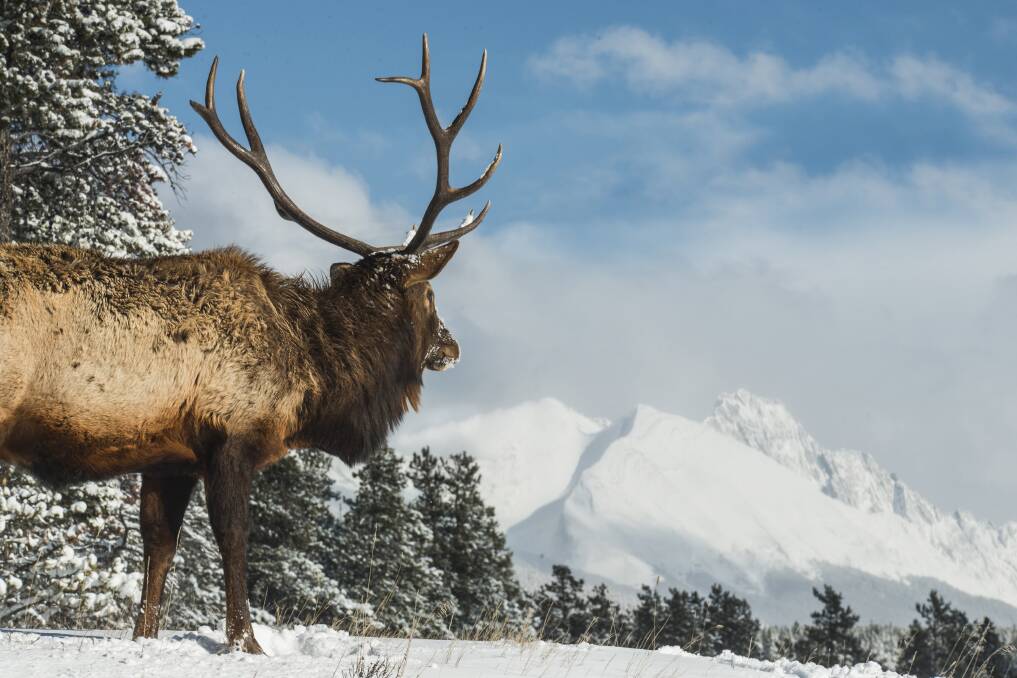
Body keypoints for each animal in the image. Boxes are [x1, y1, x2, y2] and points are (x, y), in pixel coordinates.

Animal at [0, 35, 500, 653]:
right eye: (429, 296)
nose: (452, 347)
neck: (313, 372)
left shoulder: (169, 455)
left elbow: (158, 548)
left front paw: (146, 637)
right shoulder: (230, 434)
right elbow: (234, 542)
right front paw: (247, 642)